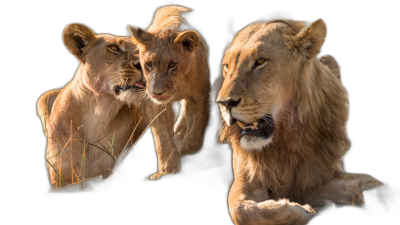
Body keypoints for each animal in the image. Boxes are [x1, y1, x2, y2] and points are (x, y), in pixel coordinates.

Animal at [127, 4, 212, 179]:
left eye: (172, 64)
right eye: (149, 64)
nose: (157, 92)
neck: (178, 84)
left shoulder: (202, 98)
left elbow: (195, 139)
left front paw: (181, 146)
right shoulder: (155, 104)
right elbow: (163, 139)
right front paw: (166, 170)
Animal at [216, 18, 382, 225]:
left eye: (260, 62)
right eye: (227, 66)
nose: (223, 103)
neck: (285, 136)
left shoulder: (317, 179)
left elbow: (363, 181)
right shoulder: (246, 180)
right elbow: (241, 210)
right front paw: (300, 211)